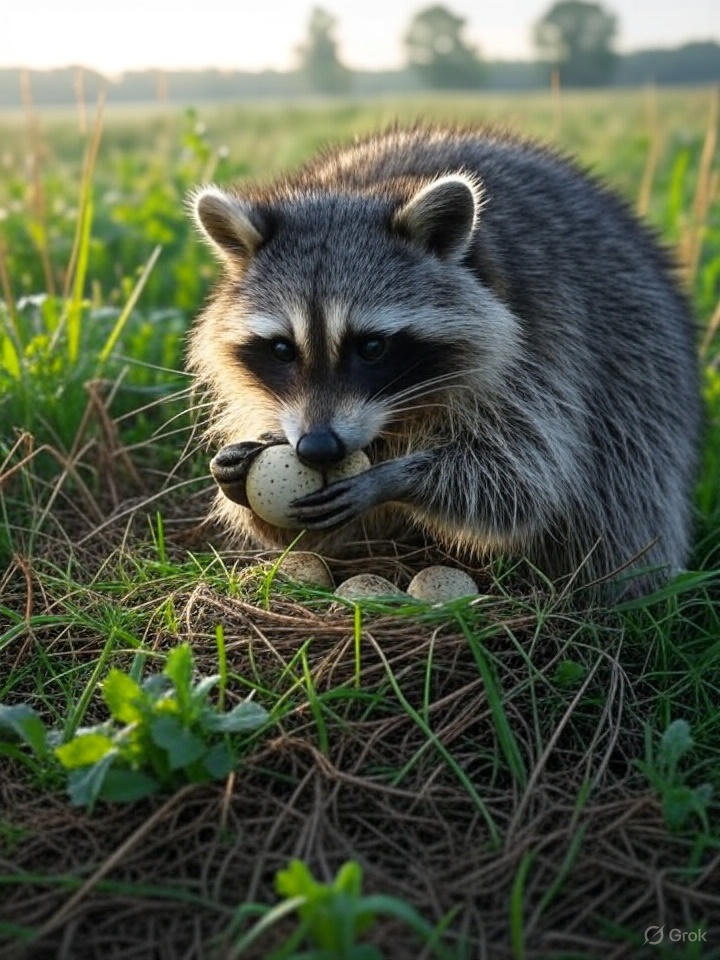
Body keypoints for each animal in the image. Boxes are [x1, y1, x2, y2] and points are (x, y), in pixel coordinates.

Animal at [189, 126, 700, 593]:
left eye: (371, 347)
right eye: (282, 349)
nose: (318, 448)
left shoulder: (542, 345)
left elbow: (522, 479)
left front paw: (396, 477)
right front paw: (235, 472)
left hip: (639, 357)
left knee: (623, 486)